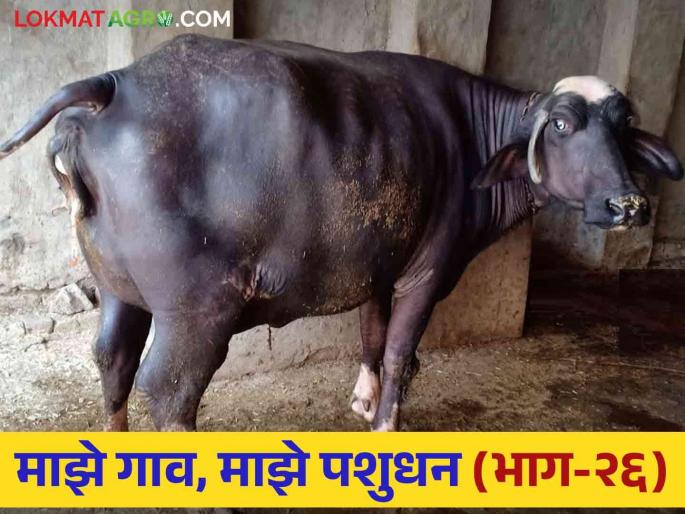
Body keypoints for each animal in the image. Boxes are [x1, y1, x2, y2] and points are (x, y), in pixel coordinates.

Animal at [1, 35, 682, 431]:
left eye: (624, 127)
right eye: (562, 125)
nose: (628, 204)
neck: (471, 138)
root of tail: (114, 84)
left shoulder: (382, 263)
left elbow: (373, 335)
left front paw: (364, 402)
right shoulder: (429, 269)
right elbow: (404, 351)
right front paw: (388, 425)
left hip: (118, 287)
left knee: (112, 361)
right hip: (198, 308)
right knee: (168, 392)